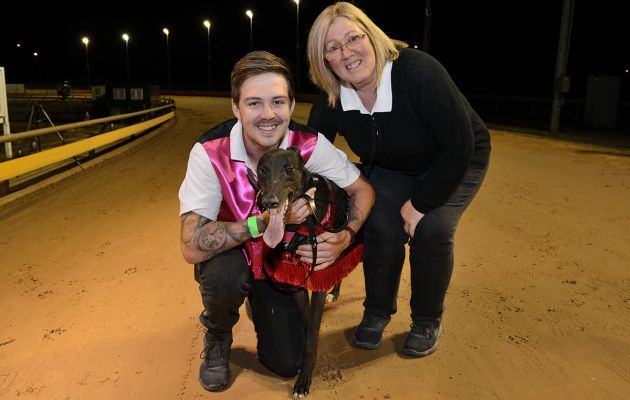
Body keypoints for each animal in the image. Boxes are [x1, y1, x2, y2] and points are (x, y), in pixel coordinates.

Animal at [251, 146, 360, 396]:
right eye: (263, 170)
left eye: (289, 169)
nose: (269, 202)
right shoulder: (297, 285)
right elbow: (308, 322)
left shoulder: (317, 276)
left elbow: (312, 334)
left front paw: (303, 381)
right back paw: (335, 292)